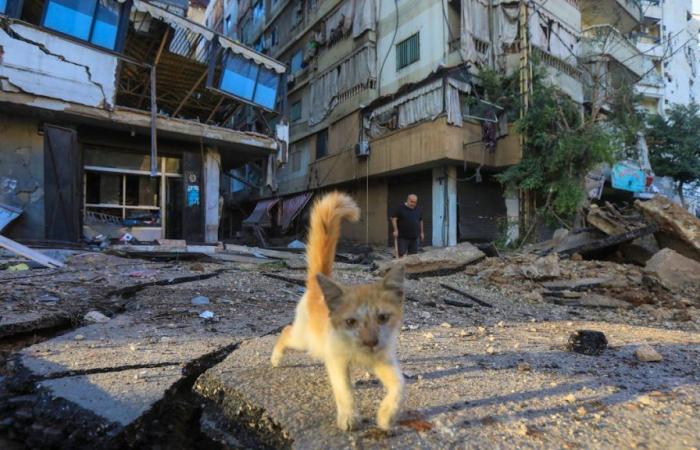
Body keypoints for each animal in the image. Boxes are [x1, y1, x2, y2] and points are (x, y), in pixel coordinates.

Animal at [270, 192, 408, 430]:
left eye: (383, 318)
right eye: (350, 322)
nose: (370, 341)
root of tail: (318, 285)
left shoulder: (383, 359)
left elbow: (399, 385)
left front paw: (386, 415)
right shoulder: (336, 360)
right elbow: (344, 391)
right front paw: (349, 417)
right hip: (304, 339)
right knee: (286, 331)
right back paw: (276, 358)